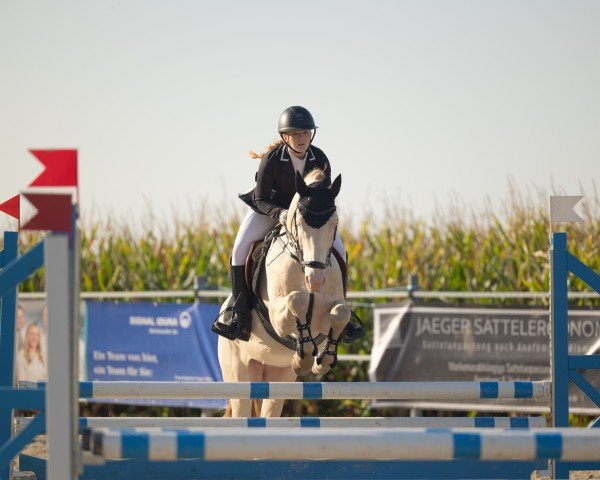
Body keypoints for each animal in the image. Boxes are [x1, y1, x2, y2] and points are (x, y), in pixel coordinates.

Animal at [219, 168, 352, 416]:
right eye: (299, 223)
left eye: (334, 224)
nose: (315, 280)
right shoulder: (277, 318)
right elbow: (296, 300)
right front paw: (305, 355)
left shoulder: (328, 314)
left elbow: (340, 313)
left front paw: (322, 360)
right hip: (239, 372)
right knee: (241, 405)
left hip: (278, 375)